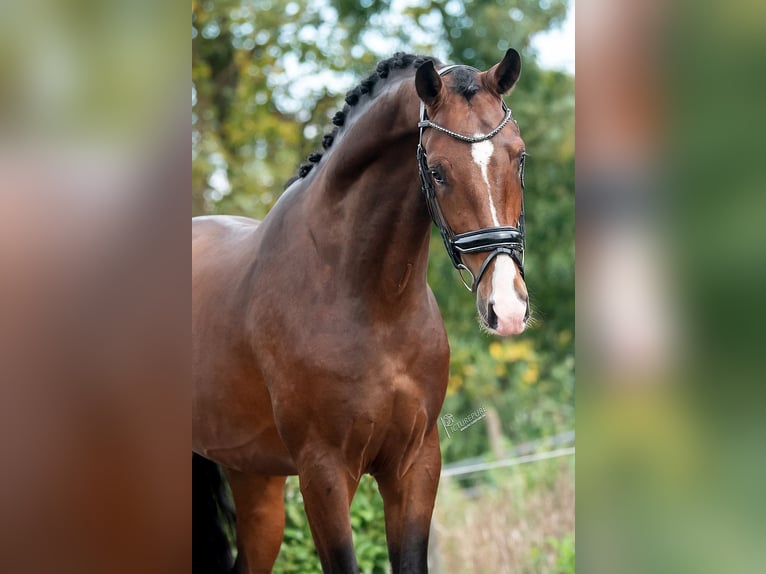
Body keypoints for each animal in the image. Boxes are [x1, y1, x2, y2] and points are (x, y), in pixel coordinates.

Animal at [194, 50, 528, 574]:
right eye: (437, 171)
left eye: (519, 156)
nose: (507, 308)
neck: (369, 302)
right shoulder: (324, 472)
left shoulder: (415, 464)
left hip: (254, 477)